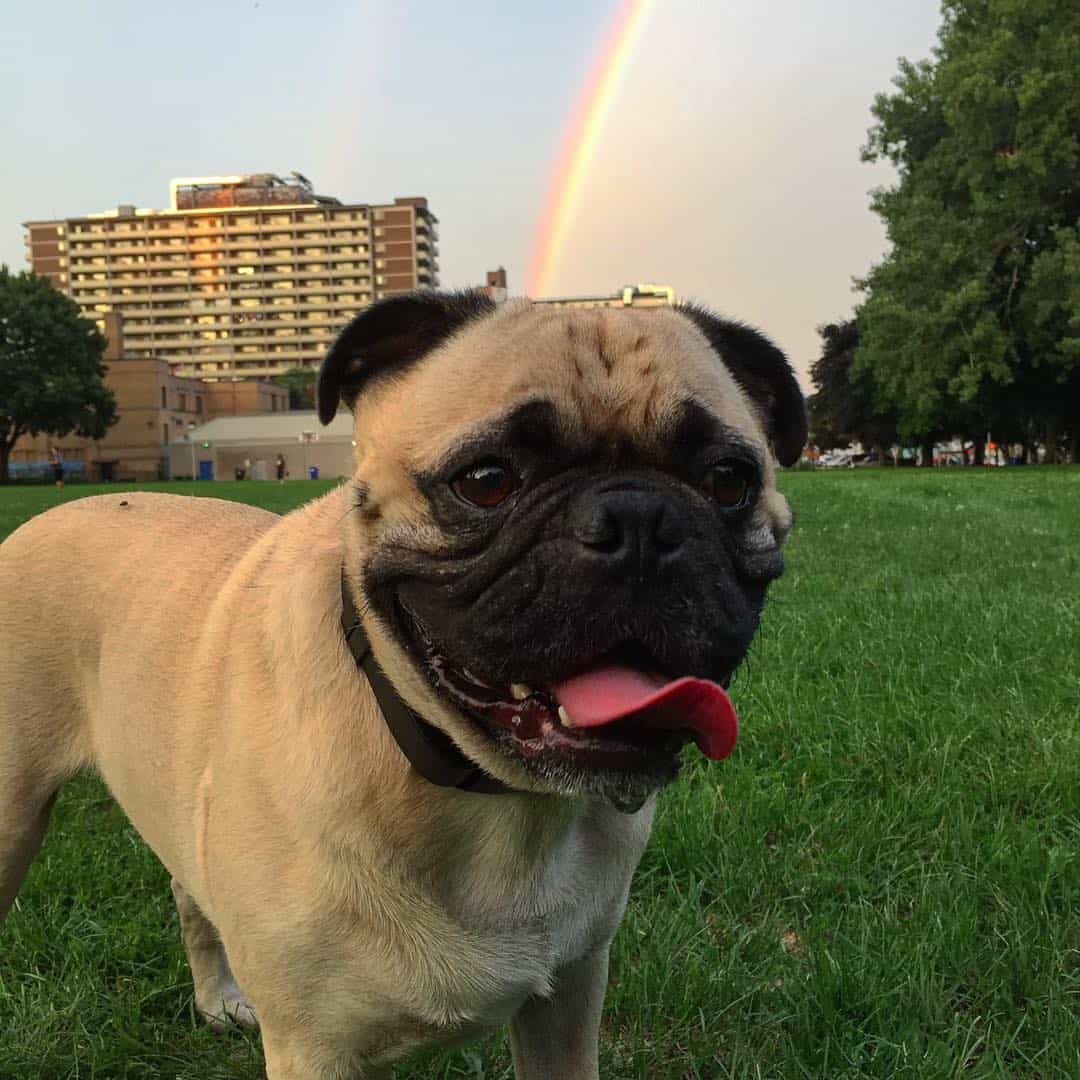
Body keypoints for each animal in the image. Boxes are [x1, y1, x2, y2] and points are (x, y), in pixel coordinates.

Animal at [0, 291, 803, 1075]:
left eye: (728, 481)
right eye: (487, 481)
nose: (638, 517)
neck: (485, 790)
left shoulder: (570, 1003)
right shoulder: (313, 1047)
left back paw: (217, 997)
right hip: (11, 822)